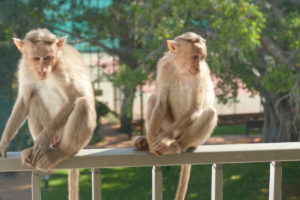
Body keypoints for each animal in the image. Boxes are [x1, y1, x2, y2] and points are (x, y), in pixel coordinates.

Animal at [0, 28, 96, 199]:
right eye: (36, 58)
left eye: (47, 58)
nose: (42, 69)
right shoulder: (25, 69)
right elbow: (24, 100)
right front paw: (5, 141)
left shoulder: (63, 69)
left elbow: (76, 96)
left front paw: (44, 138)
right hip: (55, 136)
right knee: (34, 99)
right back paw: (41, 148)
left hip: (73, 136)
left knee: (83, 103)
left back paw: (61, 151)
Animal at [132, 32, 217, 199]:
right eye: (195, 57)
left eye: (202, 58)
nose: (198, 68)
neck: (180, 70)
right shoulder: (164, 67)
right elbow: (161, 103)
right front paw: (151, 139)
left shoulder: (200, 76)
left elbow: (194, 108)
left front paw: (162, 140)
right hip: (167, 125)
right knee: (153, 99)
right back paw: (146, 141)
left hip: (184, 135)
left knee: (210, 113)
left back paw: (179, 145)